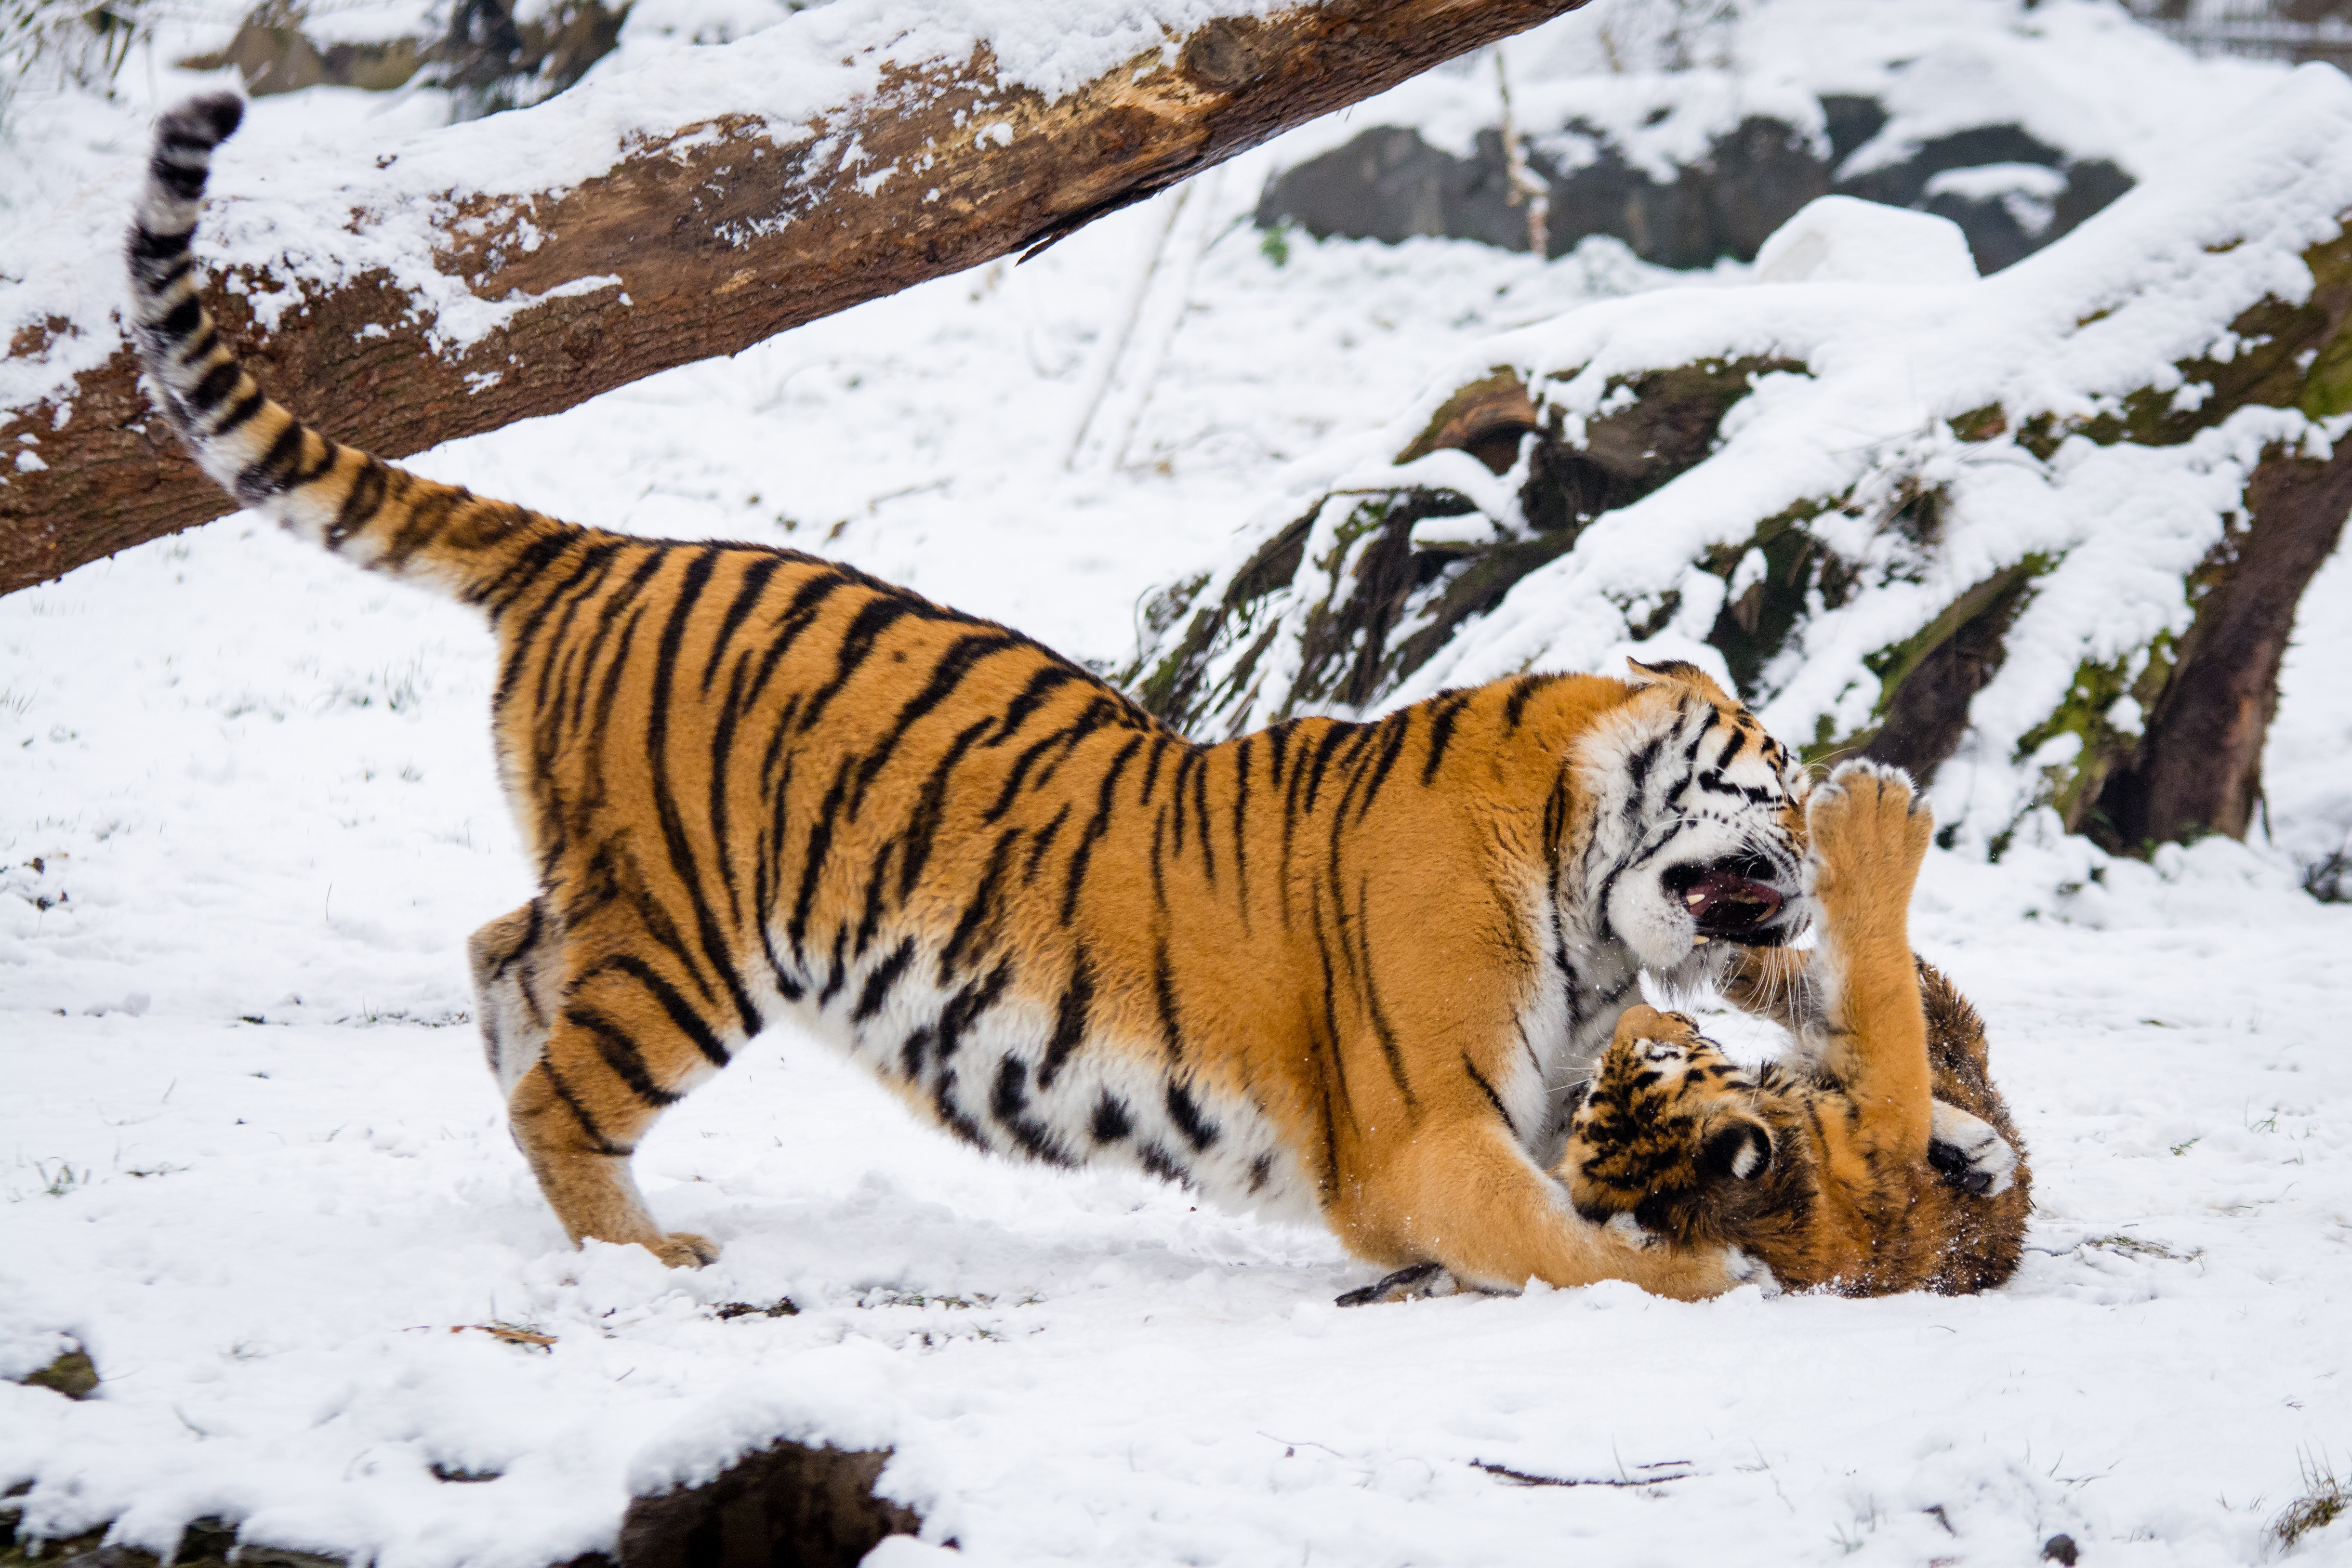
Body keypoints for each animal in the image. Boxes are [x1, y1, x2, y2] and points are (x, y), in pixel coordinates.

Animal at [1561, 762, 2022, 1297]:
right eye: (1656, 1054)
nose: (1635, 1015)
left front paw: (1977, 1150)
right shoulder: (1886, 1111)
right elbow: (1877, 979)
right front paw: (1873, 811)